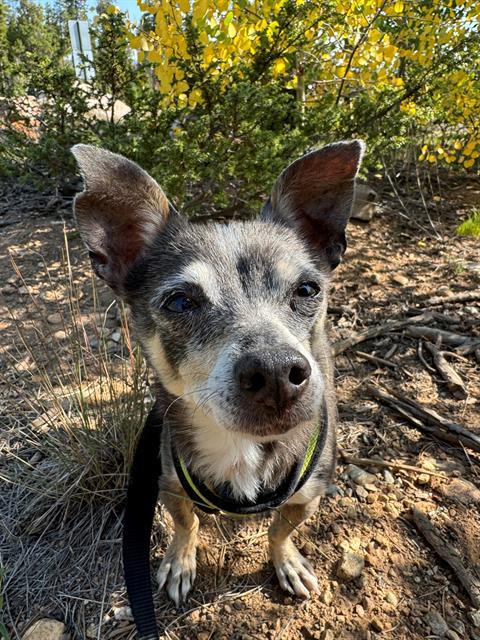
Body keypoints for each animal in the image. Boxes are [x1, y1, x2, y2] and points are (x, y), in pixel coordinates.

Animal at [71, 139, 364, 604]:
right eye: (179, 302)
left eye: (307, 289)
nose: (276, 371)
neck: (239, 446)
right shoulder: (168, 485)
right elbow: (186, 522)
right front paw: (179, 560)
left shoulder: (306, 499)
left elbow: (280, 530)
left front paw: (287, 562)